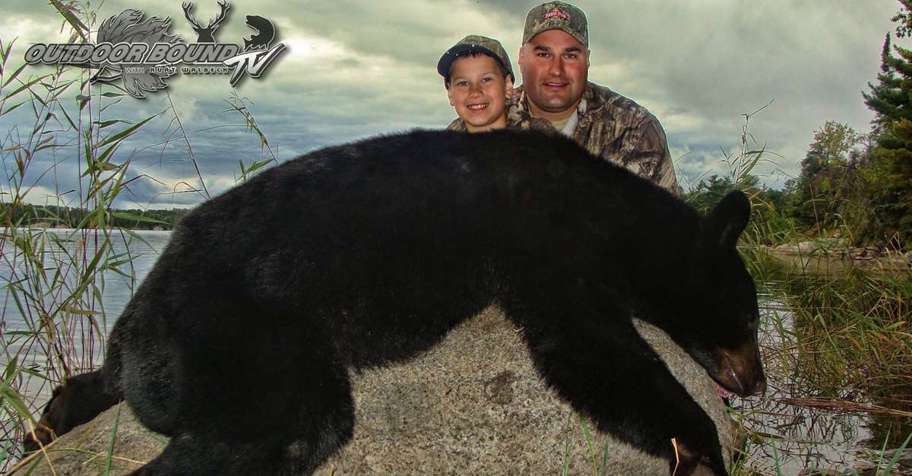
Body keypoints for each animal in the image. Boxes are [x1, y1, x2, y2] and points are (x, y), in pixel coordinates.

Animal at [23, 129, 765, 475]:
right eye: (751, 319)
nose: (758, 382)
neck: (608, 213)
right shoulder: (546, 249)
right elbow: (592, 352)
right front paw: (701, 444)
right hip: (234, 325)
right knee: (287, 424)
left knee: (106, 383)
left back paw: (51, 419)